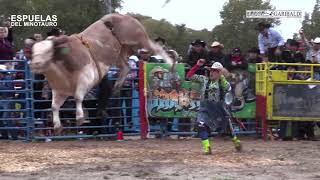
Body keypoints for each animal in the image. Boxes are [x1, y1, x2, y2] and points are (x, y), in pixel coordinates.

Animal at [30, 13, 174, 133]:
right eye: (33, 52)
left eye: (48, 51)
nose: (35, 64)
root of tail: (125, 16)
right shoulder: (60, 90)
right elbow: (54, 106)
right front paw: (57, 126)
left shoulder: (86, 78)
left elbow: (78, 97)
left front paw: (80, 117)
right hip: (121, 52)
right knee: (126, 67)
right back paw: (117, 87)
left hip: (138, 39)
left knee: (156, 48)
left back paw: (170, 60)